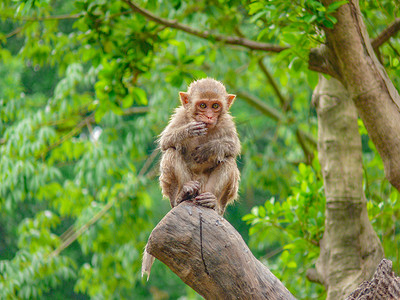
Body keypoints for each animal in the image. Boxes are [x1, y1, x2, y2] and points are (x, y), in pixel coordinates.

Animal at [141, 78, 239, 278]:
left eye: (215, 106)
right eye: (202, 105)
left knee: (228, 160)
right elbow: (166, 142)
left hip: (212, 193)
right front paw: (188, 131)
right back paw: (184, 194)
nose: (208, 117)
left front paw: (209, 148)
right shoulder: (179, 116)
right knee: (172, 151)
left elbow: (233, 148)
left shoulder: (226, 123)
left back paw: (212, 202)